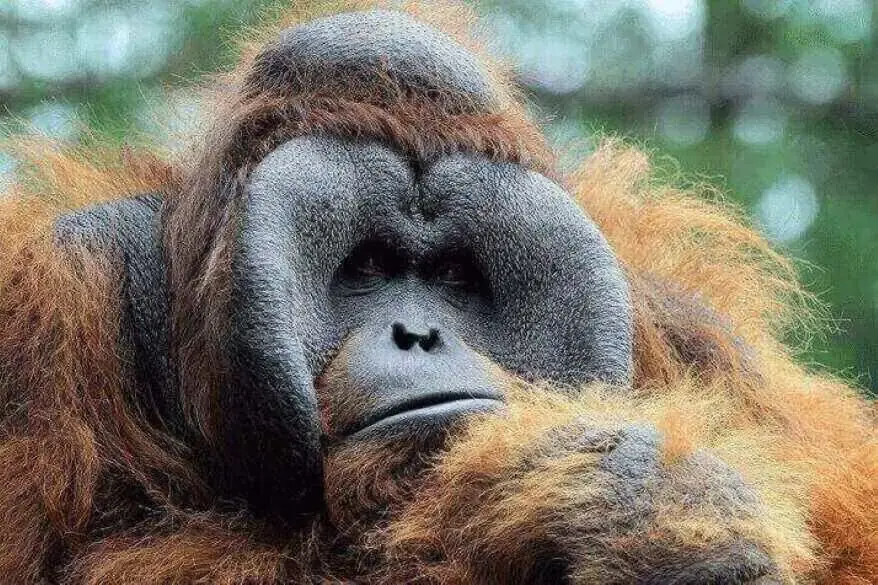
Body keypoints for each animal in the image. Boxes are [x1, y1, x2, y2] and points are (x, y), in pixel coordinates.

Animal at [0, 3, 874, 584]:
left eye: (453, 276)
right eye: (368, 266)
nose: (419, 335)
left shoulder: (699, 335)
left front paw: (658, 512)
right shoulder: (52, 303)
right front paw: (618, 508)